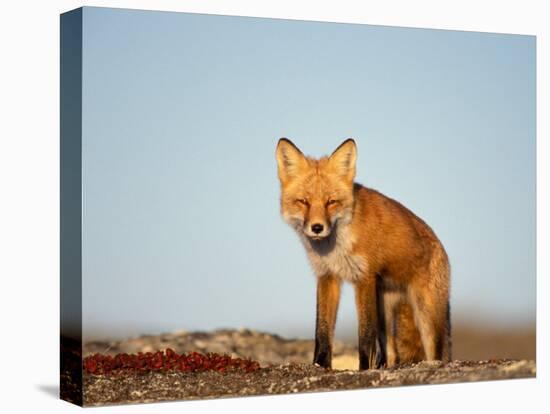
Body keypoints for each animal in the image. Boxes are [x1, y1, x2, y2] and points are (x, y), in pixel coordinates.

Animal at [276, 138, 452, 368]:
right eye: (303, 201)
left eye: (331, 202)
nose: (317, 228)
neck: (336, 246)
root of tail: (440, 245)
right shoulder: (327, 276)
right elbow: (322, 332)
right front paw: (320, 366)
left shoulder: (365, 277)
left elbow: (365, 336)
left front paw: (363, 369)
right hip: (385, 314)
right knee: (391, 354)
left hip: (427, 316)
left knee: (436, 353)